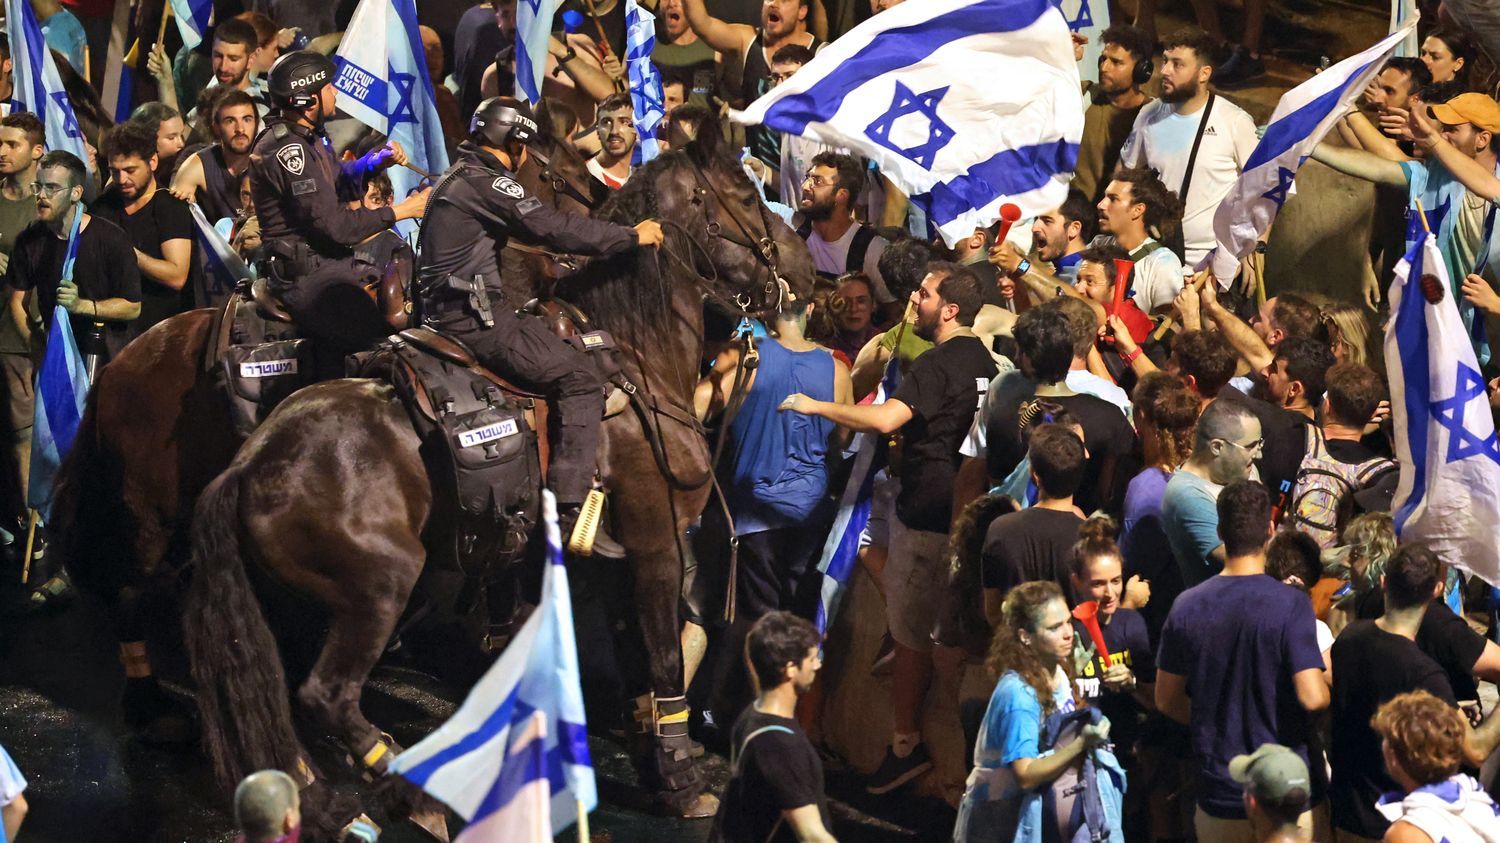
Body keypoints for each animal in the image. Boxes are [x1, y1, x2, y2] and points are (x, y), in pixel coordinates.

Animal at [180, 138, 816, 828]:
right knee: (326, 694)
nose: (808, 271)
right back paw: (410, 793)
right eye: (748, 195)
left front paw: (655, 766)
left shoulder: (617, 562)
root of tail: (251, 463)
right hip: (379, 589)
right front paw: (680, 784)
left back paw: (320, 799)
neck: (635, 357)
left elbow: (637, 668)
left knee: (276, 688)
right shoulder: (657, 546)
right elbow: (666, 662)